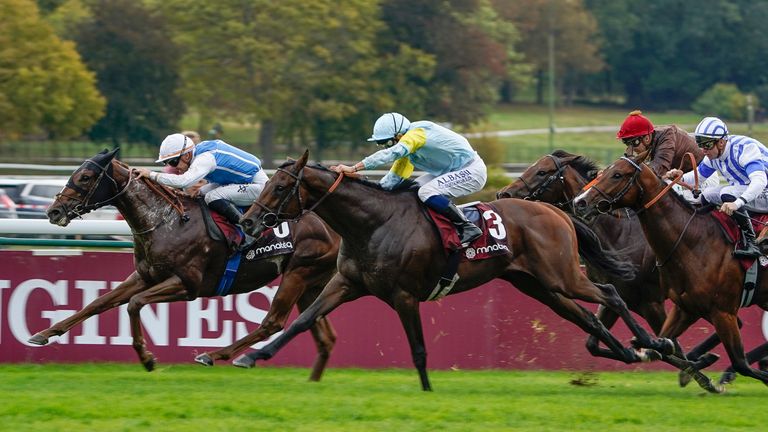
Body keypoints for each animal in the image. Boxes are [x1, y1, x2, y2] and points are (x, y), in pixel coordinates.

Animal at [40, 148, 340, 378]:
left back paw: (215, 355)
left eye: (86, 177)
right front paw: (45, 333)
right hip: (311, 282)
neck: (166, 221)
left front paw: (147, 358)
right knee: (322, 334)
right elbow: (98, 303)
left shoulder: (187, 285)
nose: (53, 211)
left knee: (274, 322)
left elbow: (135, 304)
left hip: (298, 272)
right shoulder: (145, 276)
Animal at [232, 150, 672, 390]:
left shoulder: (405, 295)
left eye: (279, 186)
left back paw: (658, 345)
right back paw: (634, 352)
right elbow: (302, 320)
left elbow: (419, 349)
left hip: (563, 275)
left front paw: (427, 390)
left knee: (611, 295)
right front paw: (251, 357)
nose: (249, 222)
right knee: (589, 320)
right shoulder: (345, 283)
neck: (373, 222)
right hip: (540, 286)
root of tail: (557, 212)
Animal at [572, 151, 768, 388]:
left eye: (617, 174)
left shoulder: (721, 311)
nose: (580, 202)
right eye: (601, 173)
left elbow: (740, 363)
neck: (695, 241)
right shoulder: (685, 307)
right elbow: (660, 346)